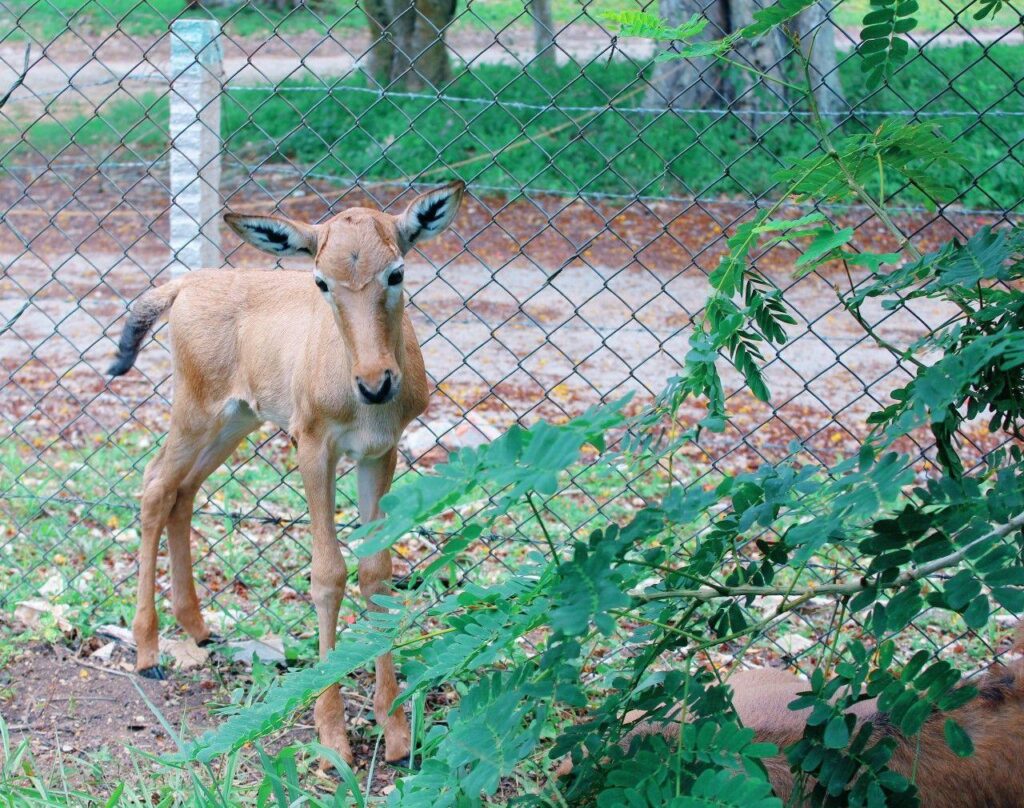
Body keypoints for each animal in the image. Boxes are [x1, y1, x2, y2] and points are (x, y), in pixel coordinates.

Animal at [105, 181, 466, 761]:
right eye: (321, 281)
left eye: (397, 272)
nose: (375, 383)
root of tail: (183, 286)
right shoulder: (313, 447)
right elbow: (327, 574)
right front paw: (332, 733)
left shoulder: (378, 454)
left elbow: (376, 573)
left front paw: (394, 730)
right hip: (196, 413)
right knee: (156, 485)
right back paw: (147, 652)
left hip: (236, 421)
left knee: (185, 491)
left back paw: (199, 629)